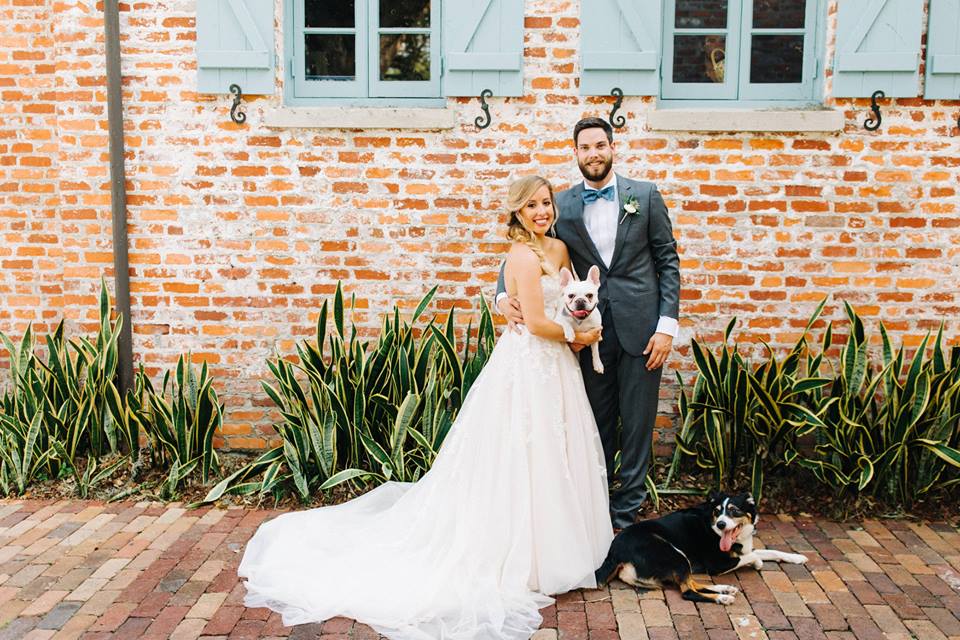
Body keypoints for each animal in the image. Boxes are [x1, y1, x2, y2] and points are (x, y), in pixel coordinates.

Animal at [592, 492, 808, 604]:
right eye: (717, 511)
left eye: (734, 511)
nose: (721, 524)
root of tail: (614, 551)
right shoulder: (717, 563)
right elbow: (753, 556)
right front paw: (758, 563)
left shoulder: (743, 548)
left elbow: (768, 551)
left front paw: (797, 557)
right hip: (676, 555)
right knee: (688, 591)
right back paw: (722, 598)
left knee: (692, 583)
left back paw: (724, 590)